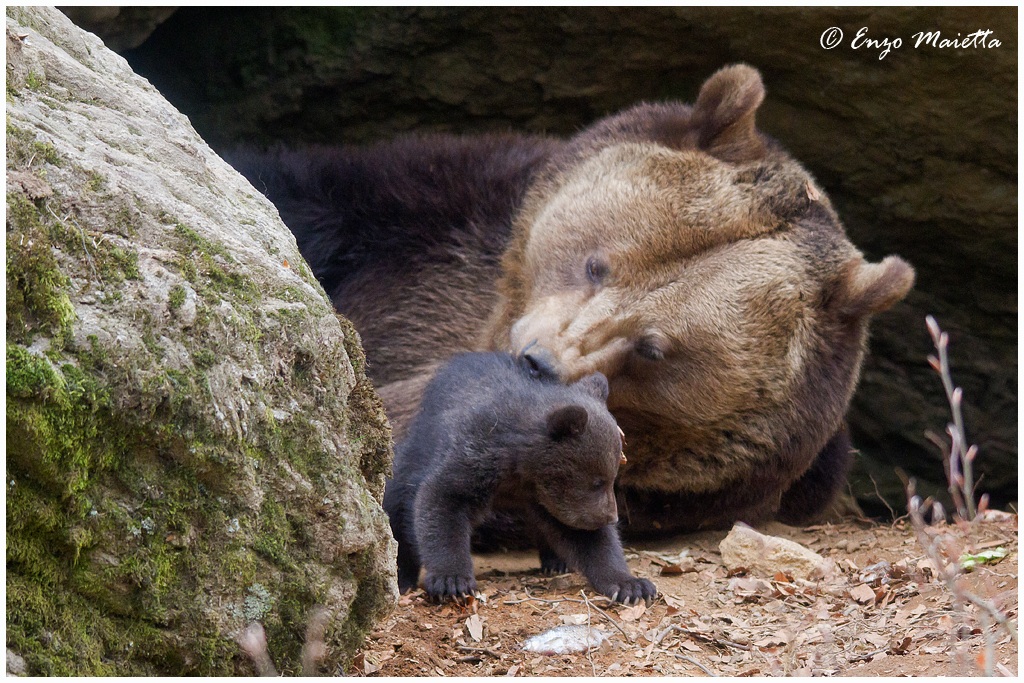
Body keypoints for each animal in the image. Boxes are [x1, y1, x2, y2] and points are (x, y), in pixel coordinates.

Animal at [383, 351, 656, 604]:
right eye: (597, 481)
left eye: (612, 476)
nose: (612, 517)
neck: (522, 472)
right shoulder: (476, 454)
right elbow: (442, 501)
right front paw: (452, 580)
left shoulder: (553, 499)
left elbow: (590, 539)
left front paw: (632, 585)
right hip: (413, 453)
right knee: (397, 507)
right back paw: (402, 576)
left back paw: (556, 562)